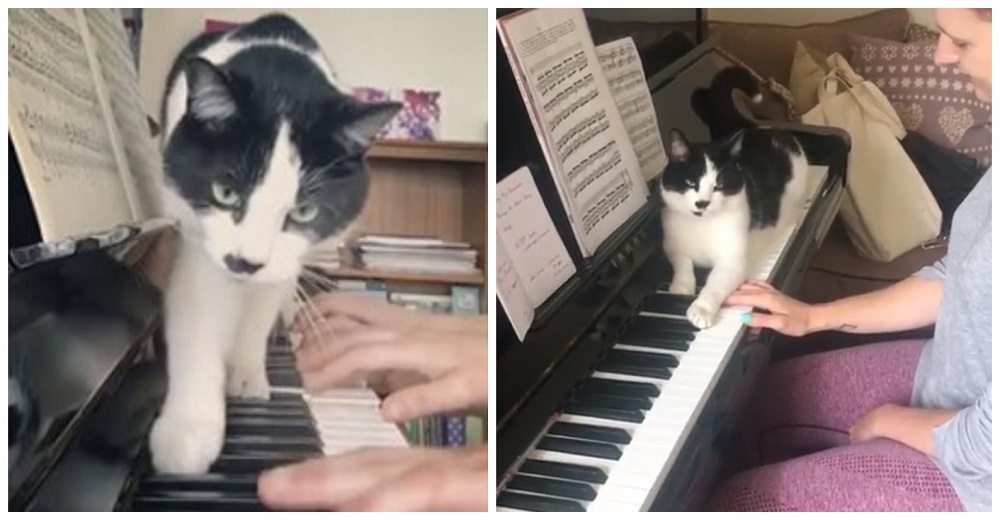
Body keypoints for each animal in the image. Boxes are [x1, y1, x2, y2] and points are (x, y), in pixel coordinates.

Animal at [148, 13, 398, 476]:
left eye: (304, 212)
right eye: (226, 193)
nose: (245, 262)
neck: (283, 75)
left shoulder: (282, 263)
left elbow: (257, 315)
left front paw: (247, 376)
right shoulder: (197, 240)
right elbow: (196, 321)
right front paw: (188, 430)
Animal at [656, 68, 812, 330]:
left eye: (718, 186)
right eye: (691, 183)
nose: (702, 203)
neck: (701, 226)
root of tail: (754, 128)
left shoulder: (732, 262)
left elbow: (714, 286)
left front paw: (701, 309)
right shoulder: (673, 247)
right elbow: (683, 265)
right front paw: (681, 287)